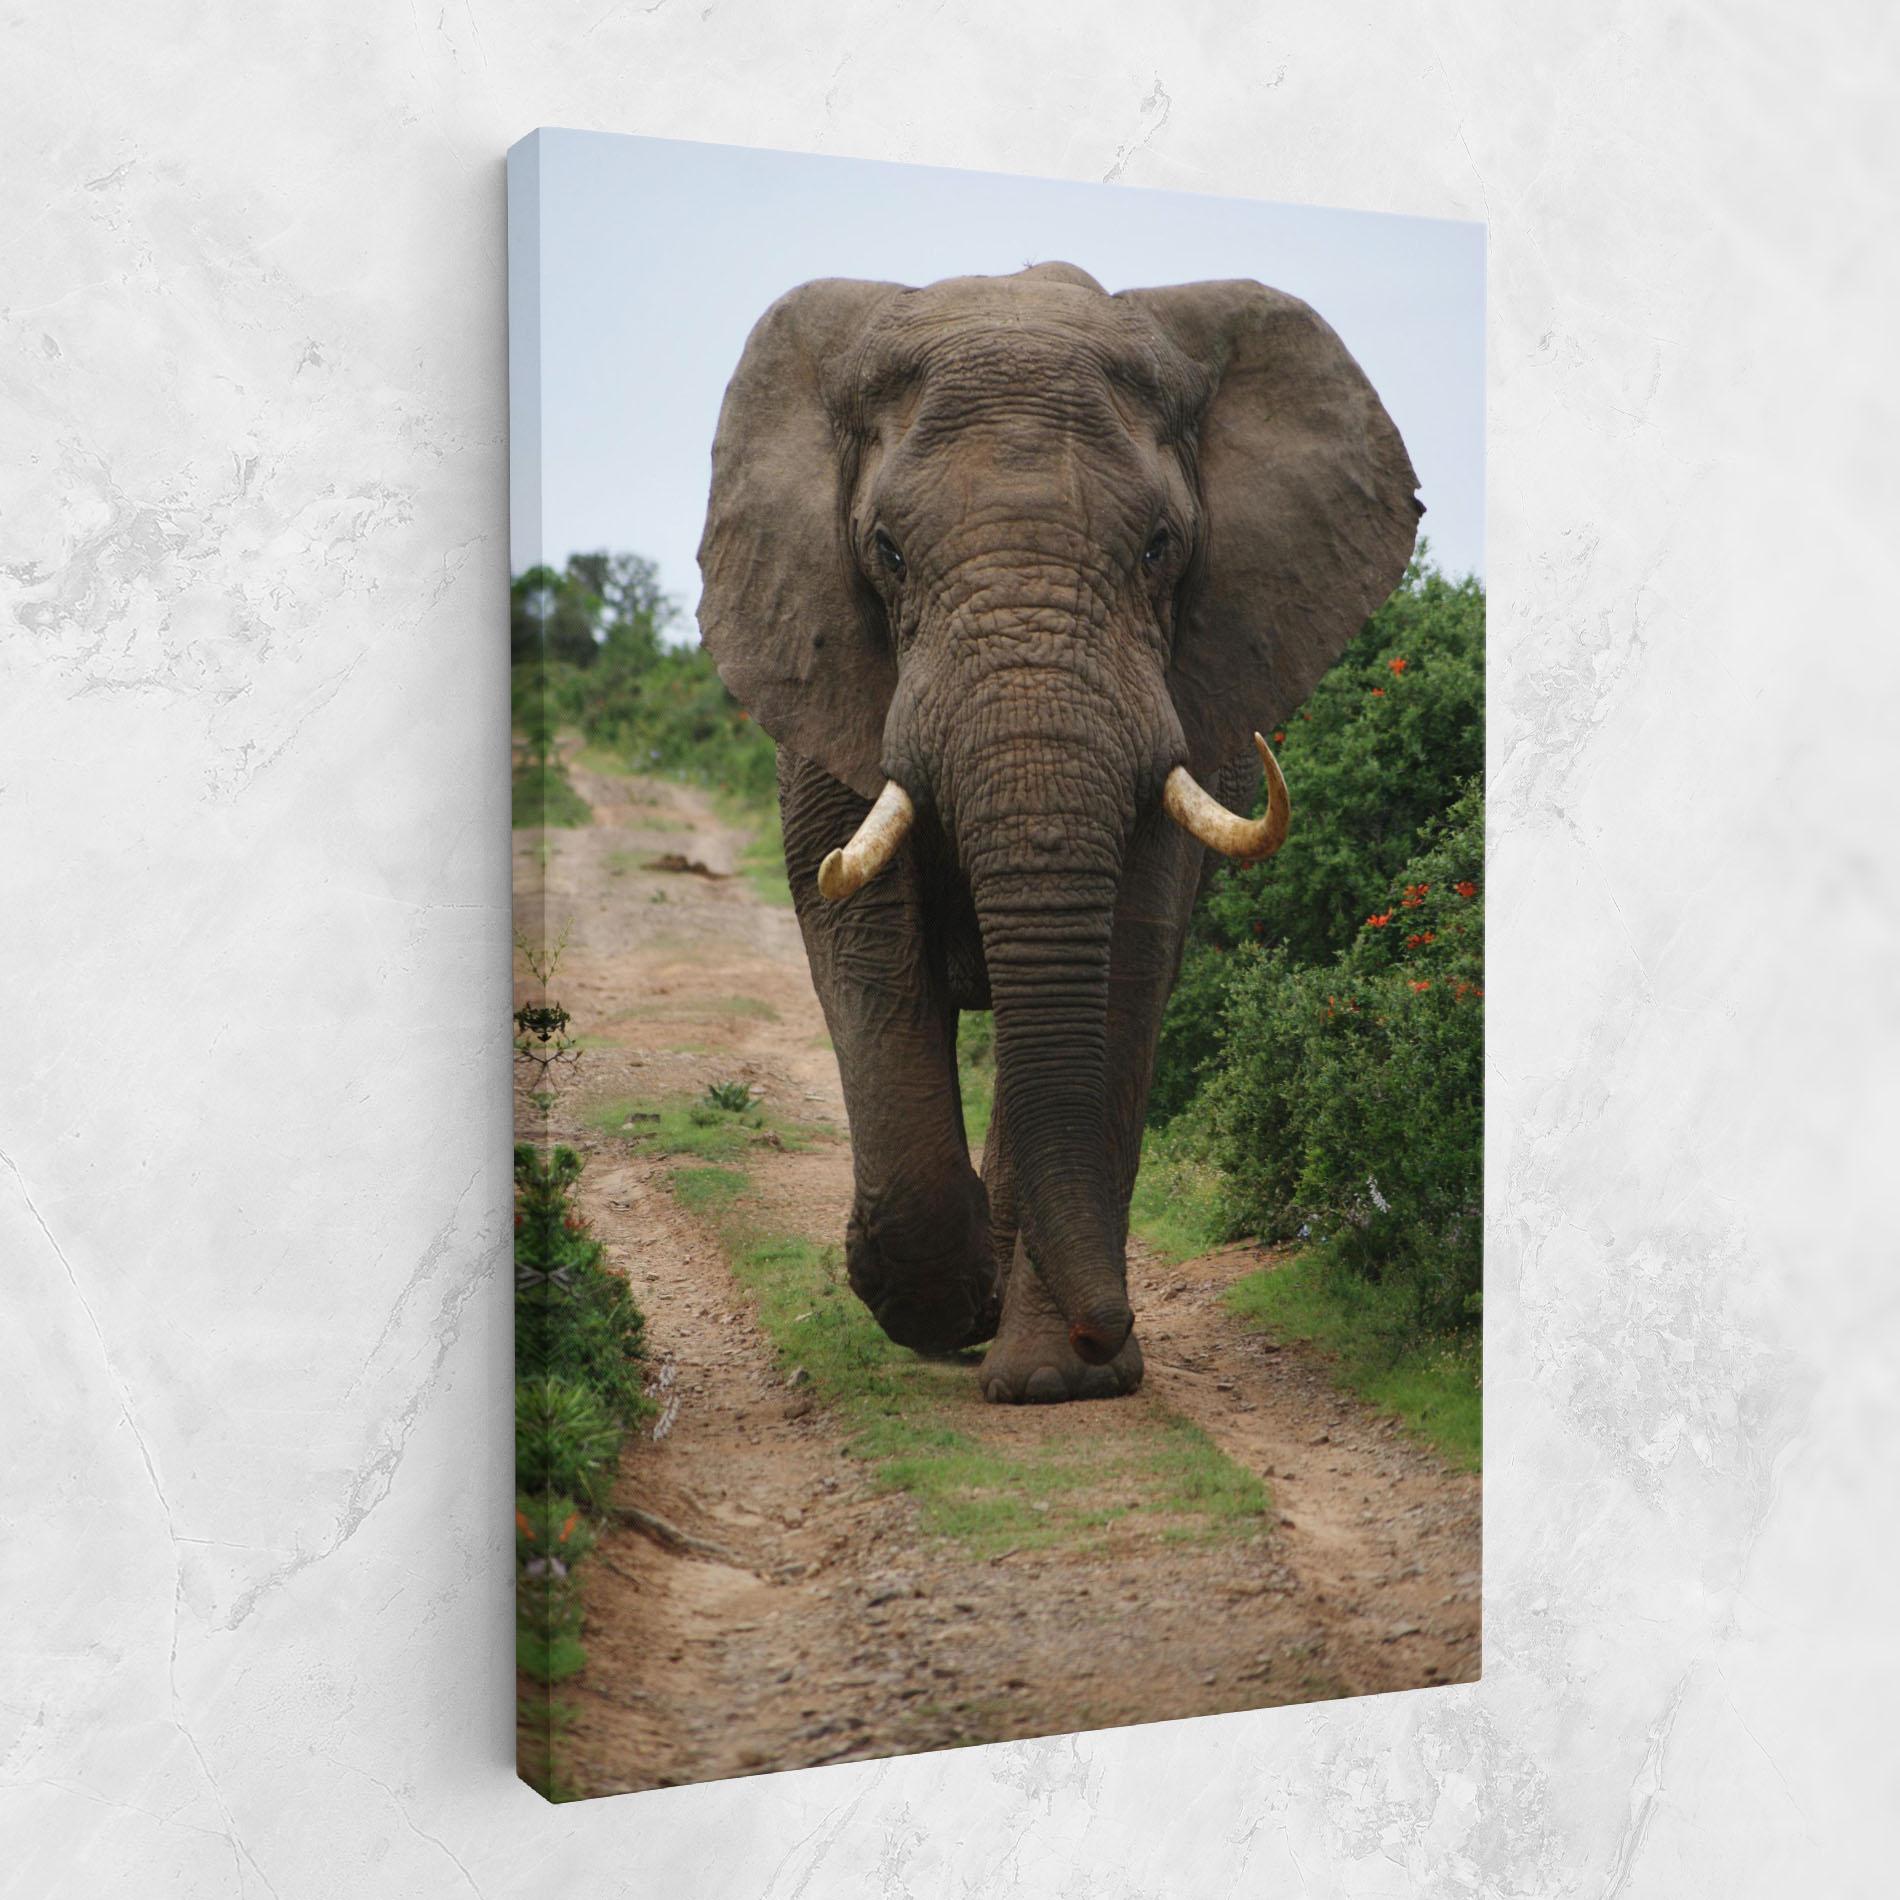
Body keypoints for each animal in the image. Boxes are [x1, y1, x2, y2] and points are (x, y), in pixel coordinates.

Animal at [696, 262, 1419, 1404]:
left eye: (1161, 548)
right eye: (885, 551)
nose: (1104, 1326)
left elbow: (1124, 957)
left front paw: (1054, 1379)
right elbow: (862, 941)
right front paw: (935, 1306)